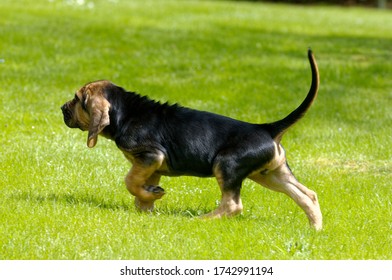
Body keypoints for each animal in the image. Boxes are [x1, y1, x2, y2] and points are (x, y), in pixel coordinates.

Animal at [61, 49, 324, 230]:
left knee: (232, 205)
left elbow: (130, 181)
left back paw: (201, 220)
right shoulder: (151, 166)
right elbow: (140, 190)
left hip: (227, 165)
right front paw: (147, 204)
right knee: (308, 195)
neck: (125, 111)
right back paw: (316, 228)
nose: (62, 108)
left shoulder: (150, 156)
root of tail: (266, 129)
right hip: (270, 174)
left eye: (77, 99)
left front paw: (150, 197)